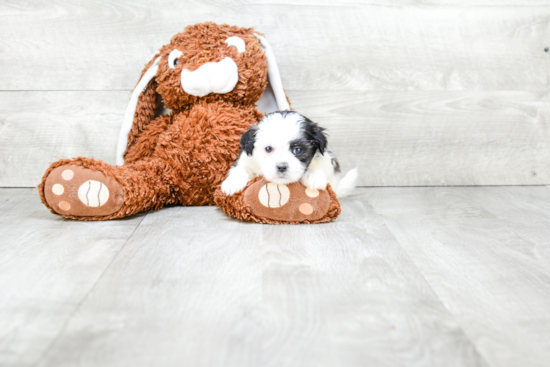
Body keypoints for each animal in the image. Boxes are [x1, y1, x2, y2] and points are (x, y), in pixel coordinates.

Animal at [222, 110, 360, 197]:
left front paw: (314, 176)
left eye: (297, 150)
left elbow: (321, 165)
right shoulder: (246, 159)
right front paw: (232, 182)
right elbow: (239, 169)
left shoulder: (326, 158)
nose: (282, 167)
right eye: (268, 149)